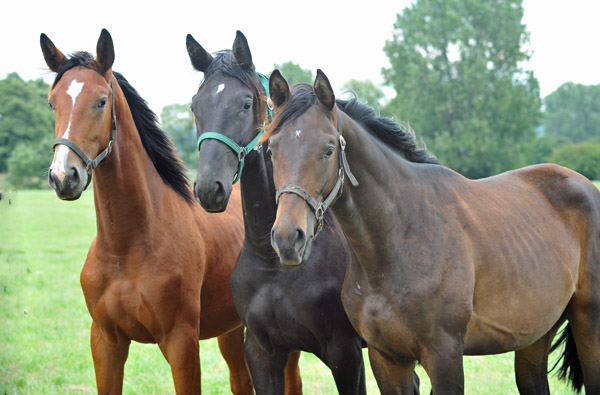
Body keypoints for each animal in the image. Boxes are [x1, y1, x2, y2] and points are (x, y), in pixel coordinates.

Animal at [39, 29, 251, 394]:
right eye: (53, 102)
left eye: (101, 101)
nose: (64, 176)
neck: (127, 248)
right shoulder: (106, 341)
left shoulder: (181, 343)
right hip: (232, 330)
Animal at [264, 69, 600, 394]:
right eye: (271, 150)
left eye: (329, 149)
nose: (287, 238)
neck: (398, 240)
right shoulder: (387, 359)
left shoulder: (444, 356)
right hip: (535, 336)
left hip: (588, 325)